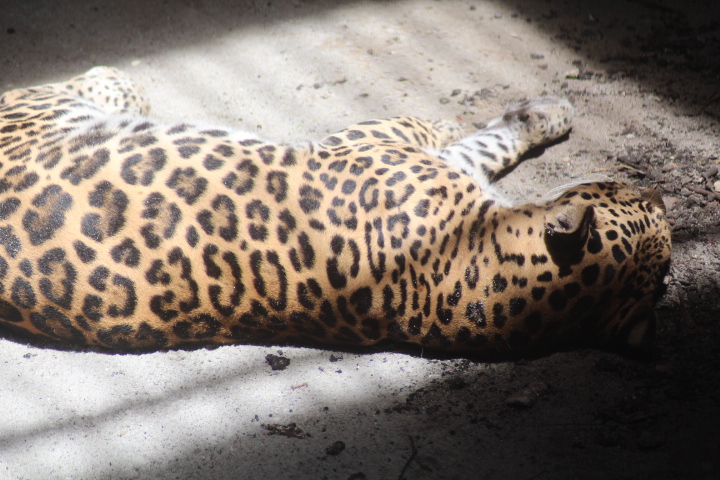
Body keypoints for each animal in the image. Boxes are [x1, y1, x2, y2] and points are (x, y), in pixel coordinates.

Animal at [0, 66, 671, 357]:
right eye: (633, 199)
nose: (662, 195)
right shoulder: (377, 141)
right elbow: (460, 136)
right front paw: (543, 114)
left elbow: (471, 144)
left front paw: (534, 116)